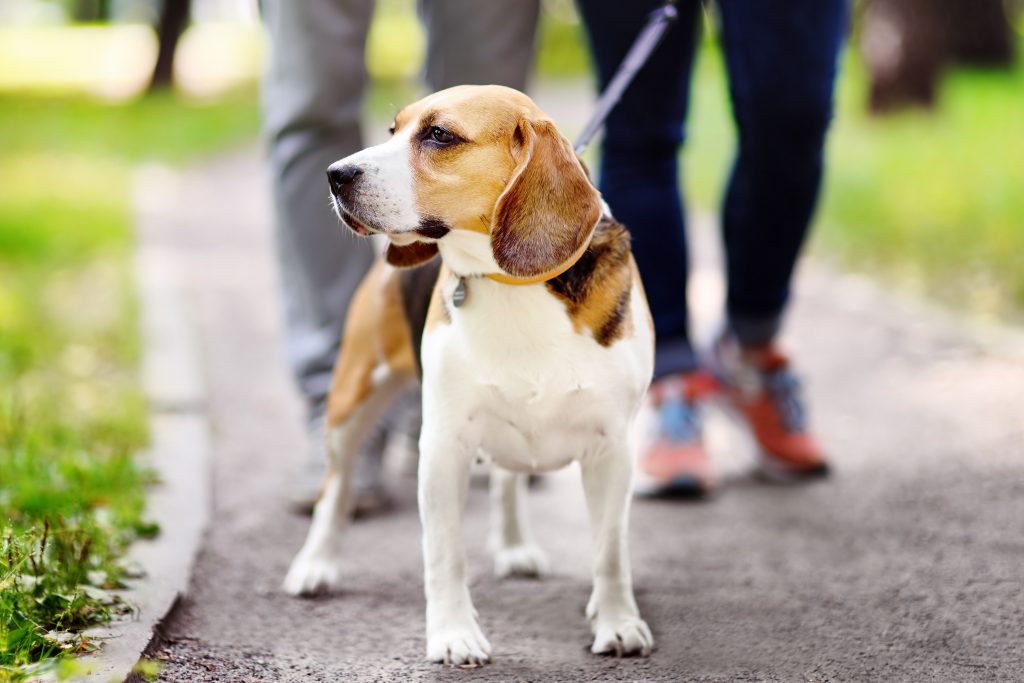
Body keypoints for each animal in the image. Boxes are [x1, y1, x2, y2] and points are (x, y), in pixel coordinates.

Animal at [284, 82, 655, 663]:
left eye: (439, 135)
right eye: (393, 130)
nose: (335, 174)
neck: (514, 284)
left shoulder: (612, 449)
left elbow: (610, 552)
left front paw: (617, 623)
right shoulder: (442, 449)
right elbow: (444, 554)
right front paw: (454, 635)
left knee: (507, 479)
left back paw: (515, 545)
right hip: (349, 404)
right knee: (335, 489)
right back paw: (315, 565)